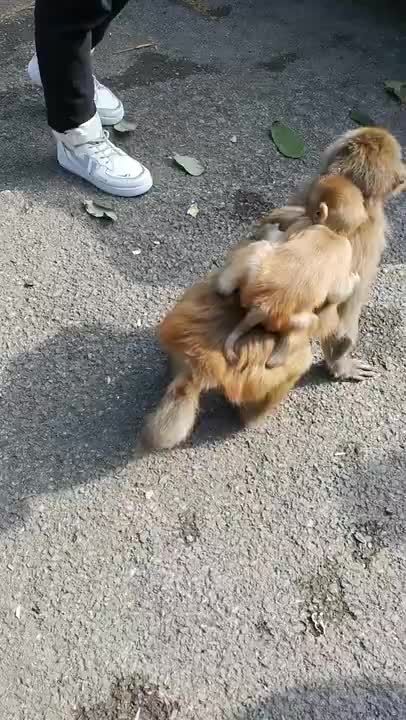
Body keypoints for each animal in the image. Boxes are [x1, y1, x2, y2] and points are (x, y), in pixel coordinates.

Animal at [216, 175, 366, 368]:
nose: (306, 209)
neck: (334, 232)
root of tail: (264, 307)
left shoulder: (310, 227)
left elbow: (336, 294)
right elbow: (336, 294)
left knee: (260, 248)